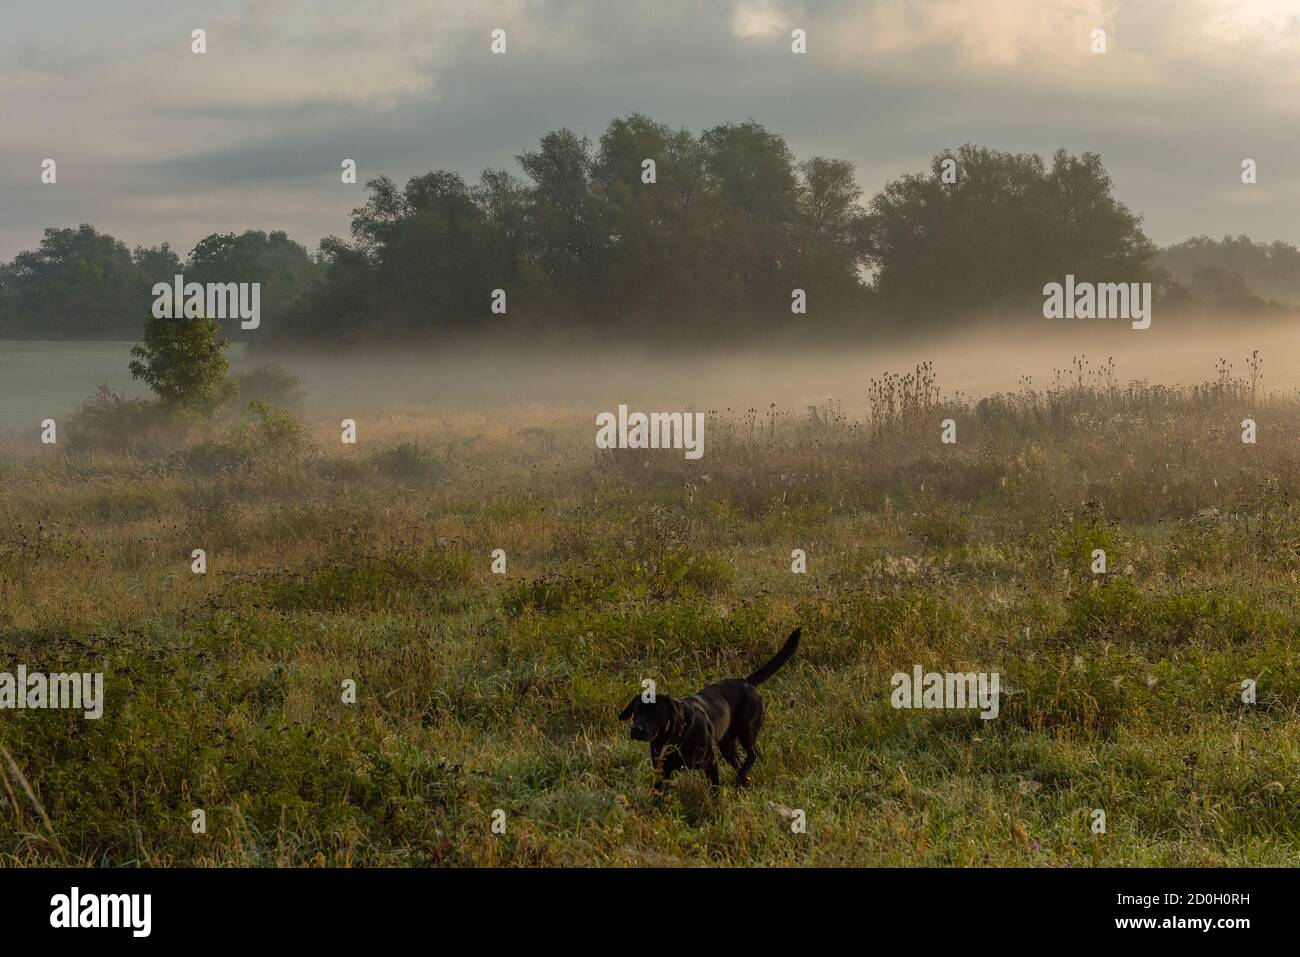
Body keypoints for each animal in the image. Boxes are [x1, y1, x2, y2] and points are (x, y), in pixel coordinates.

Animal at [616, 629, 795, 785]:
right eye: (637, 711)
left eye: (655, 713)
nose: (636, 729)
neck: (676, 736)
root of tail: (746, 682)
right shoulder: (661, 771)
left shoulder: (711, 763)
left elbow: (715, 791)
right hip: (728, 745)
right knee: (740, 763)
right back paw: (741, 781)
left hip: (747, 730)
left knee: (752, 755)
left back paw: (741, 775)